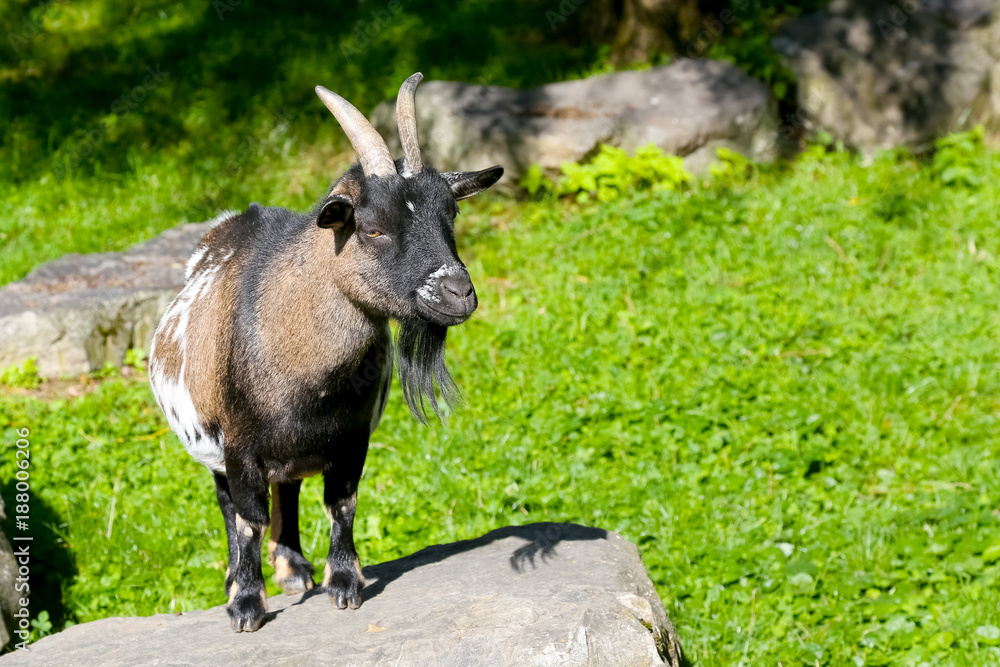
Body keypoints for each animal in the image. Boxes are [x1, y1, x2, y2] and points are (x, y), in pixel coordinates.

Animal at [149, 73, 502, 632]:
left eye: (452, 213)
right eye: (372, 227)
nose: (458, 293)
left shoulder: (350, 437)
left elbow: (342, 503)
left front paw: (344, 583)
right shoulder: (240, 446)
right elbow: (247, 520)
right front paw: (246, 604)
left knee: (289, 490)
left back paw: (295, 569)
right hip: (214, 446)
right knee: (229, 505)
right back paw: (242, 577)